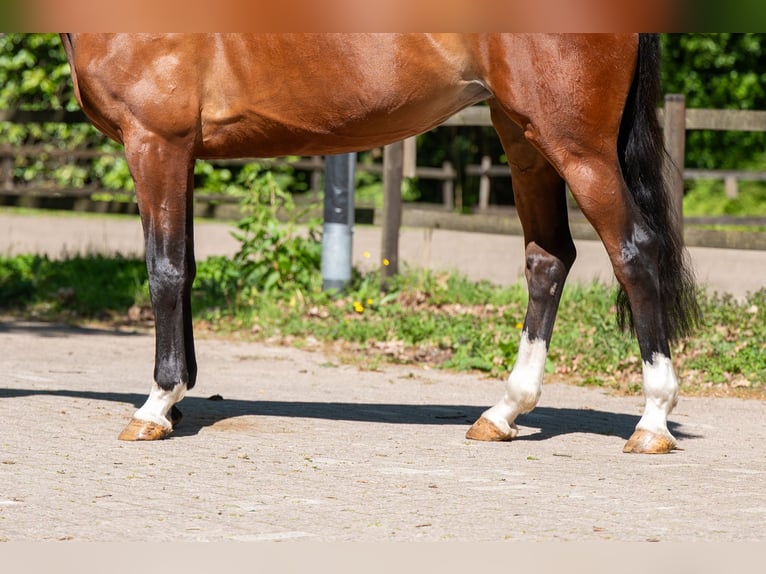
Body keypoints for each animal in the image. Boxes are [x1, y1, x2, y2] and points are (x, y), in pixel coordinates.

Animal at [60, 33, 699, 454]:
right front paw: (181, 400)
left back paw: (652, 422)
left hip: (576, 146)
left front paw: (157, 405)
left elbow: (165, 270)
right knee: (548, 259)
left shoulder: (156, 142)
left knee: (634, 253)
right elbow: (187, 267)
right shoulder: (181, 153)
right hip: (523, 137)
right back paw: (503, 413)